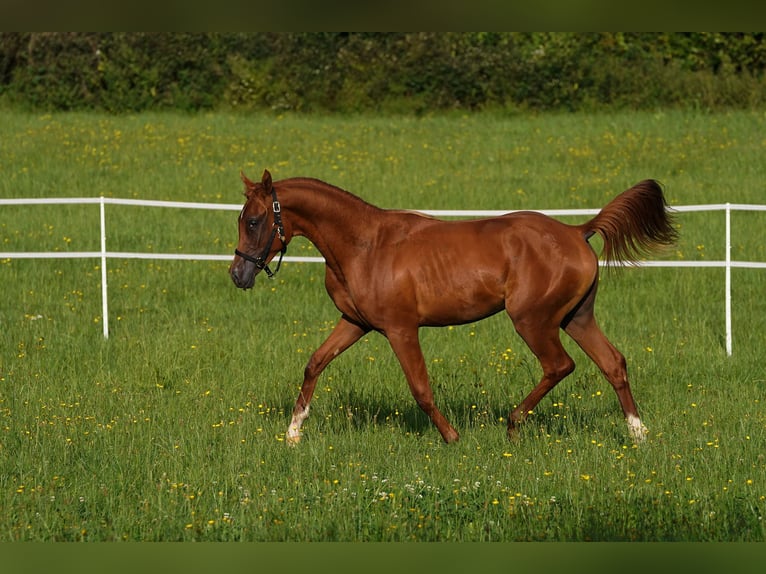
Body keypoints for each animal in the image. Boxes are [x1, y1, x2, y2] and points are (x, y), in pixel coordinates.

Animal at [230, 169, 680, 448]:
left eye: (253, 221)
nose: (238, 274)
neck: (365, 246)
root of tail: (576, 231)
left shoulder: (400, 329)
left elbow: (421, 389)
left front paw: (452, 438)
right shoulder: (355, 323)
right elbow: (315, 363)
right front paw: (293, 433)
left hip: (533, 320)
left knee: (560, 365)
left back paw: (513, 425)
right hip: (577, 317)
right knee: (613, 363)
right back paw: (638, 434)